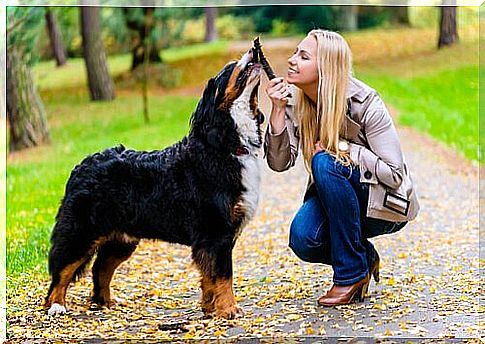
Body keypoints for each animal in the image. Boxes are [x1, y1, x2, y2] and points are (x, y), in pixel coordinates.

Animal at [44, 47, 264, 318]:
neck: (225, 144)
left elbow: (208, 276)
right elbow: (223, 275)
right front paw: (228, 309)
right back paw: (56, 306)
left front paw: (209, 308)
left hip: (121, 239)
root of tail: (81, 165)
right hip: (81, 232)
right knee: (61, 271)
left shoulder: (213, 238)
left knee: (100, 268)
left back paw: (106, 301)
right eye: (231, 66)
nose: (253, 50)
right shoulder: (216, 231)